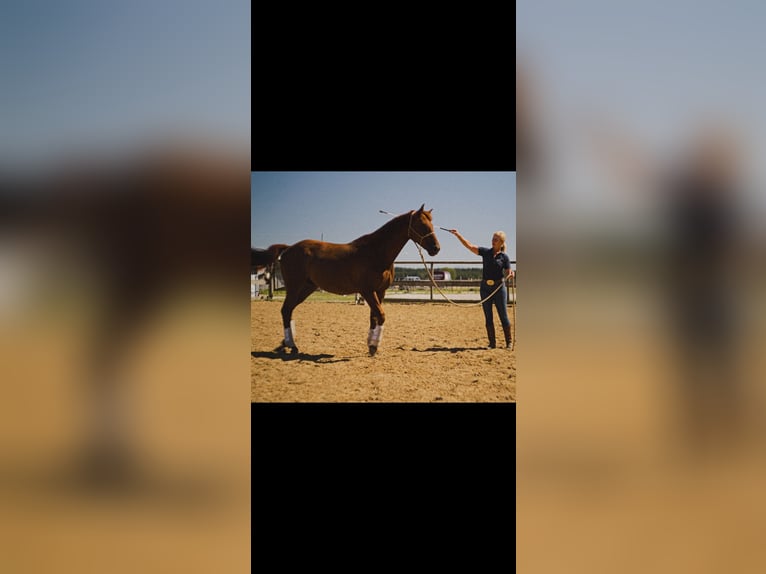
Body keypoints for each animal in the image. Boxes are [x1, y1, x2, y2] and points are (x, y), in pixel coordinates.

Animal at [261, 204, 440, 356]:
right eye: (421, 224)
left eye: (432, 225)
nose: (436, 248)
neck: (375, 253)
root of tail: (288, 249)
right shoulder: (366, 291)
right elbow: (381, 315)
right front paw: (374, 345)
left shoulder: (379, 291)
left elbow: (373, 317)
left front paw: (371, 345)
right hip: (294, 287)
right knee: (285, 310)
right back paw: (292, 345)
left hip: (306, 288)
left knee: (289, 310)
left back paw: (286, 343)